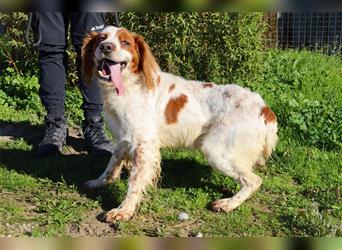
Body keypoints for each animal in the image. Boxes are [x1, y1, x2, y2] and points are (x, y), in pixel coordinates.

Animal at [82, 26, 278, 224]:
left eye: (125, 42)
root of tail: (264, 108)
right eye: (101, 38)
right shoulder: (124, 138)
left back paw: (228, 203)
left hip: (216, 151)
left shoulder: (144, 145)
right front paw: (99, 182)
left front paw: (123, 210)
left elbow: (134, 183)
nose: (105, 47)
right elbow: (111, 165)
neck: (130, 85)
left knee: (254, 181)